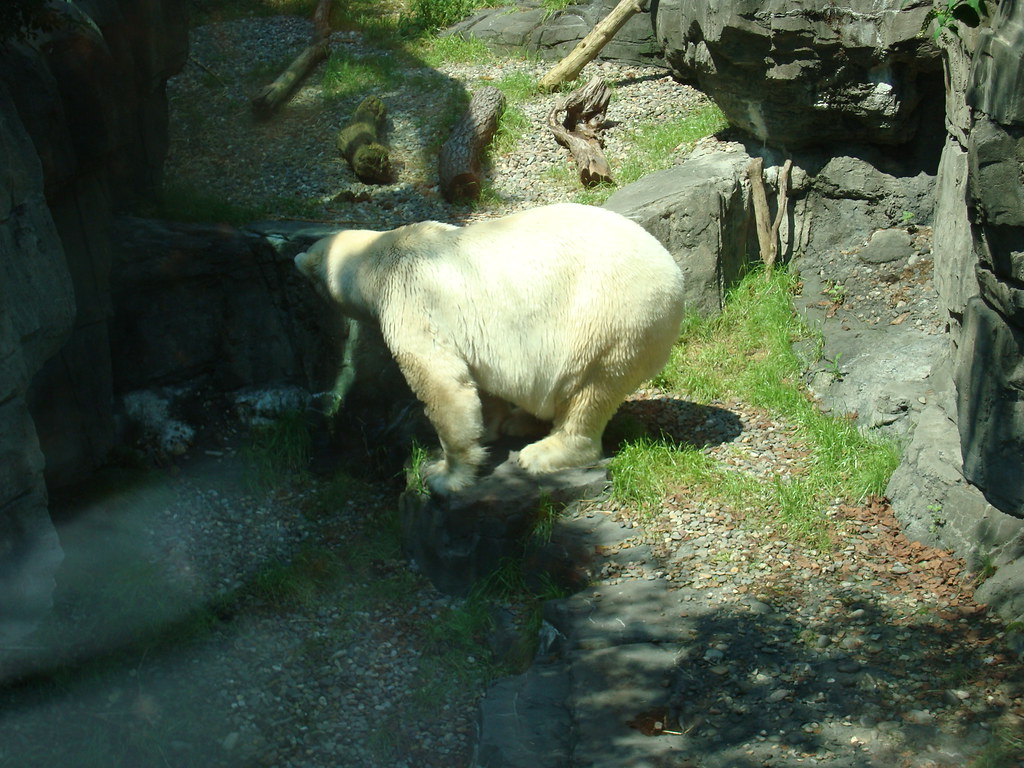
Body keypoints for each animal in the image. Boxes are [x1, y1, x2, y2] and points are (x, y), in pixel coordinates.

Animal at [294, 202, 685, 494]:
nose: (297, 260)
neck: (384, 258)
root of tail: (675, 280)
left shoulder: (414, 303)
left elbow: (442, 384)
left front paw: (443, 473)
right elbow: (481, 380)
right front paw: (491, 427)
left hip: (610, 322)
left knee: (589, 392)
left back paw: (543, 452)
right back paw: (520, 422)